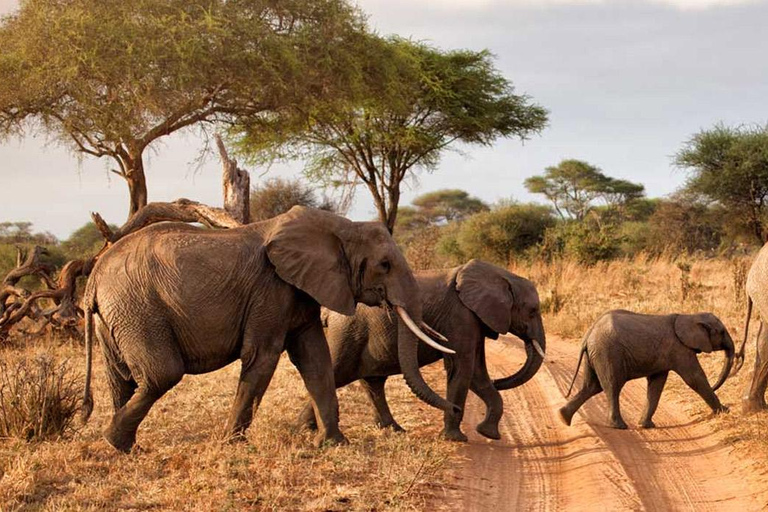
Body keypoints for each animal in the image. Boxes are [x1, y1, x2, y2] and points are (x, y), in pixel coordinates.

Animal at [79, 205, 456, 452]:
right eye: (385, 265)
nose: (454, 411)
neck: (341, 228)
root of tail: (94, 277)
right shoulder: (270, 288)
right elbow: (263, 355)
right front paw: (231, 444)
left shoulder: (301, 290)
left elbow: (316, 360)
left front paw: (334, 443)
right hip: (138, 308)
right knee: (162, 374)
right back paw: (115, 440)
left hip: (116, 316)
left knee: (122, 378)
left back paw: (125, 447)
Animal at [296, 258, 544, 442]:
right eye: (533, 311)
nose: (499, 381)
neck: (501, 275)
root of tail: (329, 312)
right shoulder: (461, 317)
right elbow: (462, 369)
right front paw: (456, 438)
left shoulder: (475, 320)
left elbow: (477, 373)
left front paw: (488, 434)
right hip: (348, 333)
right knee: (337, 373)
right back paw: (305, 429)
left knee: (372, 381)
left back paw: (393, 430)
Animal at [560, 310, 736, 430]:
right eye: (722, 332)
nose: (715, 386)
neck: (690, 316)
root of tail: (589, 334)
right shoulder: (679, 349)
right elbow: (695, 378)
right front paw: (725, 411)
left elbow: (656, 385)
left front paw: (646, 425)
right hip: (608, 353)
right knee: (612, 385)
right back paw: (620, 426)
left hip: (595, 355)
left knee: (592, 386)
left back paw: (563, 418)